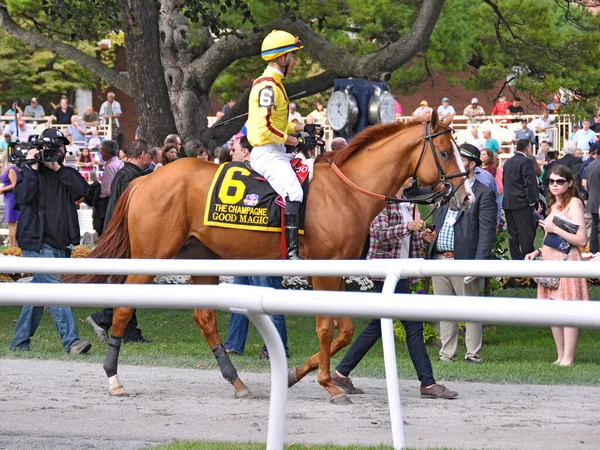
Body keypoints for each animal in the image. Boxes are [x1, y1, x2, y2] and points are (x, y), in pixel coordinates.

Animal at [69, 112, 474, 404]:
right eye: (444, 152)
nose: (466, 196)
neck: (346, 191)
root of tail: (144, 180)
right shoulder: (323, 270)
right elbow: (328, 328)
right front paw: (328, 385)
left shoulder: (339, 272)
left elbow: (344, 330)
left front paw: (297, 373)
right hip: (152, 256)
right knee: (124, 308)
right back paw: (114, 378)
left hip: (203, 257)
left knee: (204, 317)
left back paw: (237, 381)